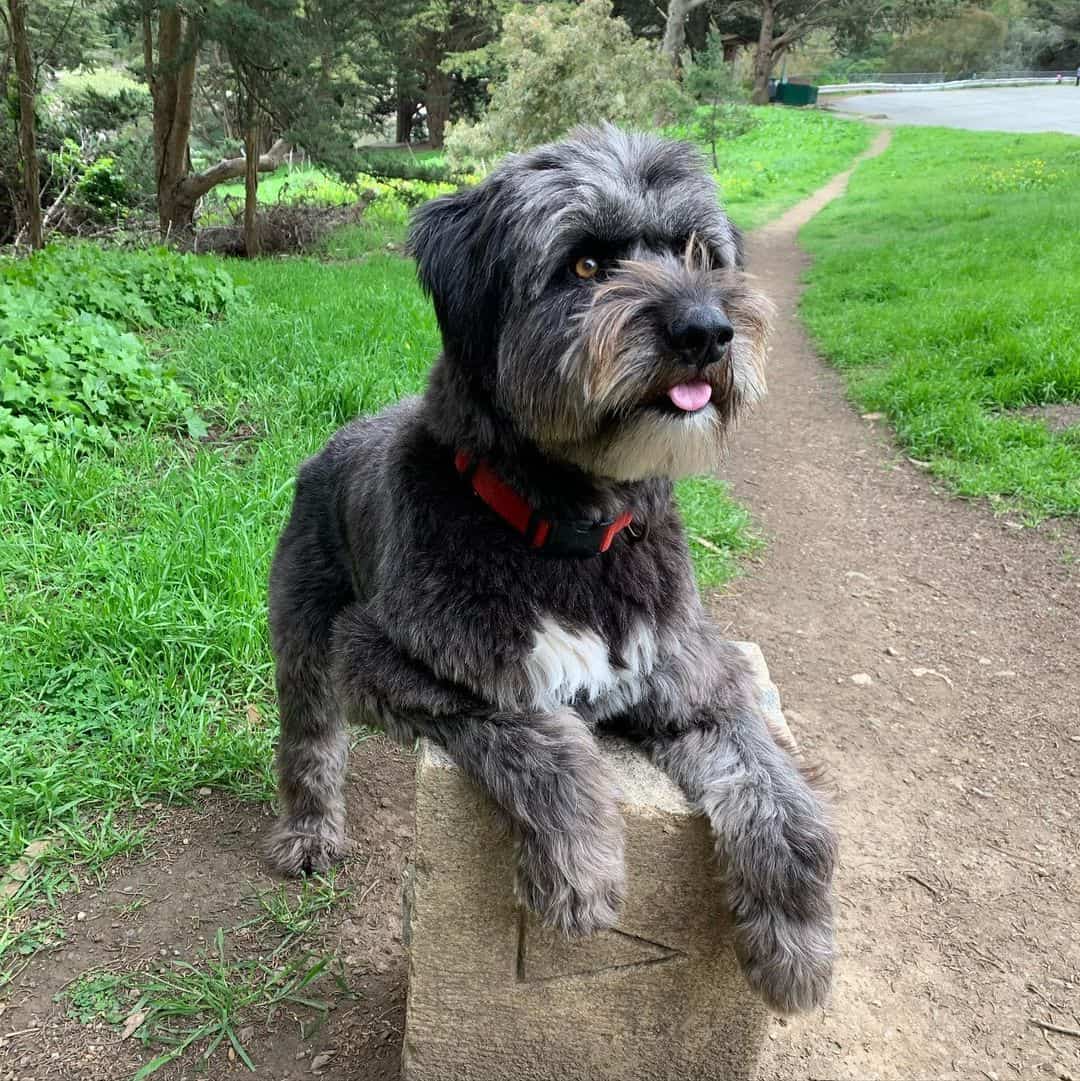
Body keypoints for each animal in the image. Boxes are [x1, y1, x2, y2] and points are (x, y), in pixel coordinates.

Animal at [263, 124, 834, 1011]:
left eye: (700, 251)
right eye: (586, 265)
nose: (708, 329)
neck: (571, 535)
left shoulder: (695, 675)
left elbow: (774, 785)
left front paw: (797, 941)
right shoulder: (393, 658)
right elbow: (538, 730)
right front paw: (582, 866)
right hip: (307, 635)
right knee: (310, 744)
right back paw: (309, 833)